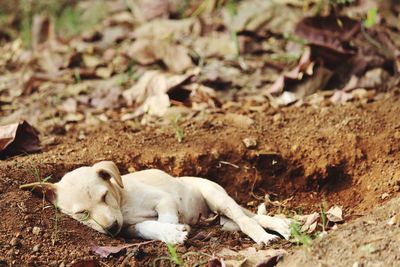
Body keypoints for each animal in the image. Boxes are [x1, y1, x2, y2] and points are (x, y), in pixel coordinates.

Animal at [20, 161, 290, 245]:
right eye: (82, 213)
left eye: (104, 196)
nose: (111, 229)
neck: (123, 201)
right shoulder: (128, 228)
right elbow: (146, 227)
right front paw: (171, 234)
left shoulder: (164, 200)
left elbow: (166, 218)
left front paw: (174, 230)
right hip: (224, 222)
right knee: (250, 218)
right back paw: (283, 226)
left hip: (217, 198)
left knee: (246, 219)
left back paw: (267, 235)